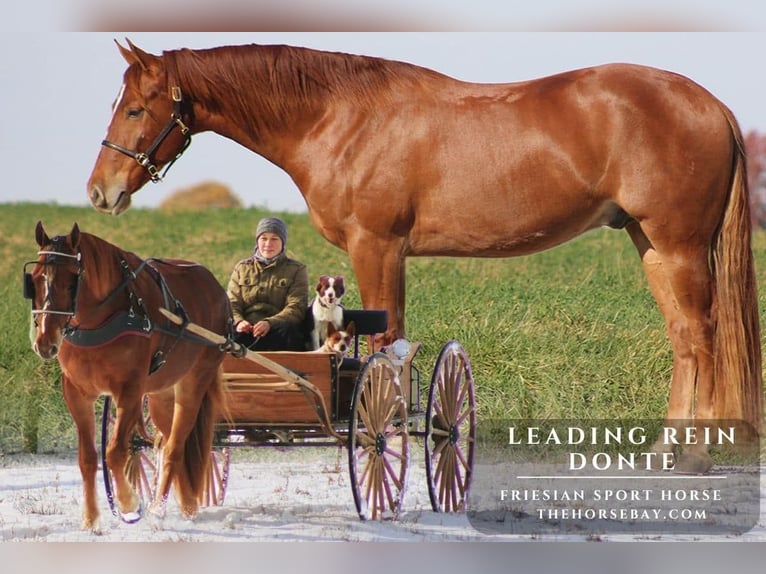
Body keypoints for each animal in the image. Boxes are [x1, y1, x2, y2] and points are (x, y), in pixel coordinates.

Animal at [25, 220, 230, 532]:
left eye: (72, 280)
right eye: (35, 279)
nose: (45, 342)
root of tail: (216, 288)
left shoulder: (130, 390)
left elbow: (115, 452)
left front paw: (129, 504)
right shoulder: (77, 393)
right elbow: (88, 458)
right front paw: (91, 520)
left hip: (194, 382)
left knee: (174, 447)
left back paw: (159, 509)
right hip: (161, 394)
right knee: (172, 444)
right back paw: (186, 505)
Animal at [86, 40, 762, 474]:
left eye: (137, 107)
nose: (101, 191)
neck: (340, 119)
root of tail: (711, 105)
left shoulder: (376, 245)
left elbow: (387, 344)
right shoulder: (392, 254)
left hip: (677, 246)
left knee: (702, 335)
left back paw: (695, 453)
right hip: (649, 244)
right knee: (682, 337)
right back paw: (664, 449)